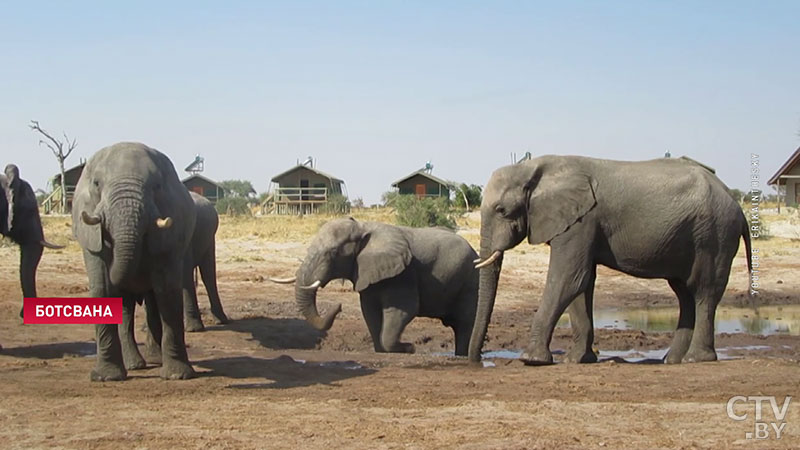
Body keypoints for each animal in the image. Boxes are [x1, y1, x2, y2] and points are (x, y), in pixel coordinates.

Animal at [73, 142, 197, 382]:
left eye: (157, 185)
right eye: (96, 183)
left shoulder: (170, 236)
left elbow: (167, 292)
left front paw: (177, 376)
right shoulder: (91, 237)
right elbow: (102, 289)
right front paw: (106, 378)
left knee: (152, 301)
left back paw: (154, 360)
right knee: (125, 308)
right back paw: (134, 365)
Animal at [268, 218, 482, 356]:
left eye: (334, 252)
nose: (338, 306)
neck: (363, 227)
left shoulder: (404, 274)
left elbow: (403, 311)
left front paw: (409, 348)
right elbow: (369, 312)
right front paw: (383, 350)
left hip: (471, 280)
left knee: (464, 323)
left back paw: (462, 356)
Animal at [468, 155, 752, 366]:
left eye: (501, 210)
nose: (475, 360)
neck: (532, 169)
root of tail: (736, 204)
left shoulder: (581, 221)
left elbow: (569, 277)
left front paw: (532, 360)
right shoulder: (582, 223)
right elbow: (581, 283)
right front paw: (577, 360)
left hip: (714, 234)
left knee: (704, 290)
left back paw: (695, 359)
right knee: (685, 294)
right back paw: (672, 360)